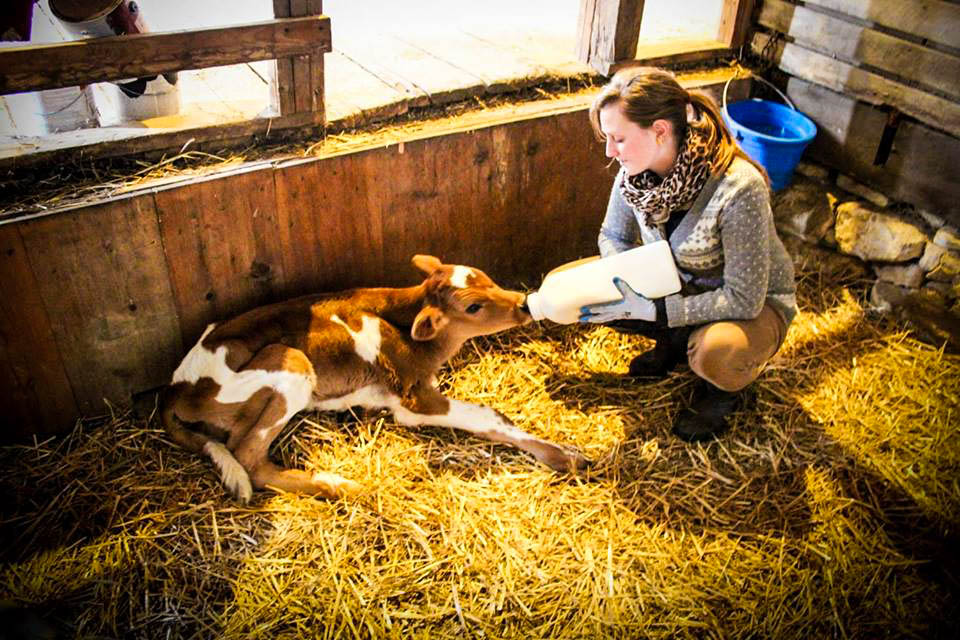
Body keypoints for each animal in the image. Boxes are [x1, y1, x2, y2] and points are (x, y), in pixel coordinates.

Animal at [161, 254, 588, 500]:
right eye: (474, 306)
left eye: (485, 276)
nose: (522, 305)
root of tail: (176, 387)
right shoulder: (413, 399)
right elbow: (489, 416)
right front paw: (564, 454)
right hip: (291, 363)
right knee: (246, 456)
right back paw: (338, 485)